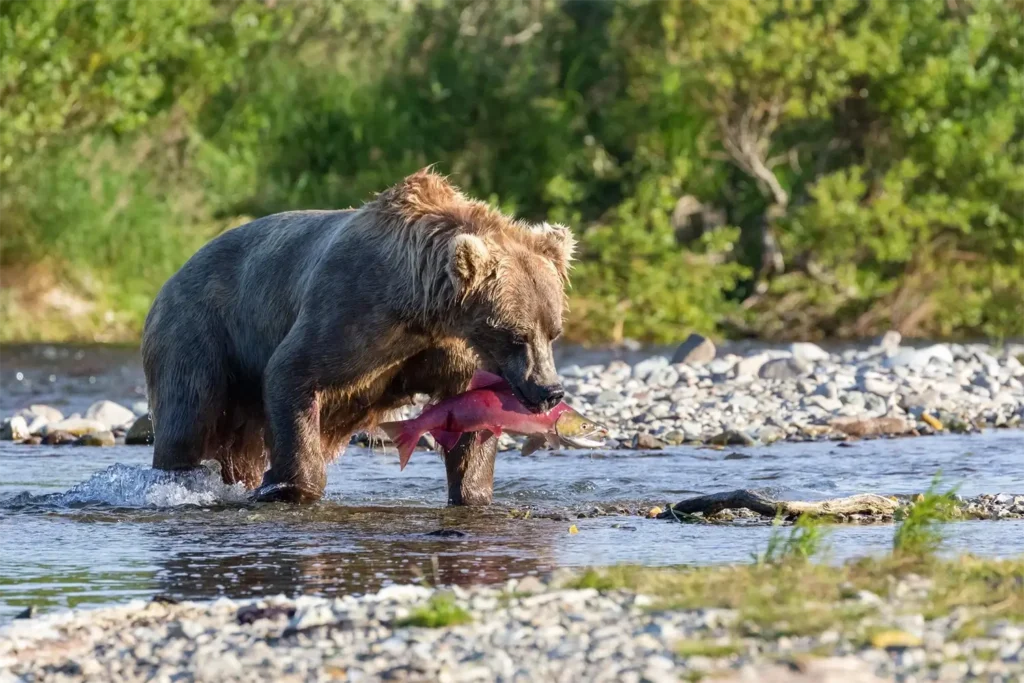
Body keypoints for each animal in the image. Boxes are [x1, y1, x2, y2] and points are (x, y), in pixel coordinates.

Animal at [141, 169, 574, 505]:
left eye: (553, 331)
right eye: (515, 335)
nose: (550, 390)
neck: (423, 307)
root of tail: (171, 277)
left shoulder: (450, 350)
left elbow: (471, 424)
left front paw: (472, 492)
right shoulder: (352, 313)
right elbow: (291, 371)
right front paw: (290, 486)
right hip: (200, 331)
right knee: (188, 417)